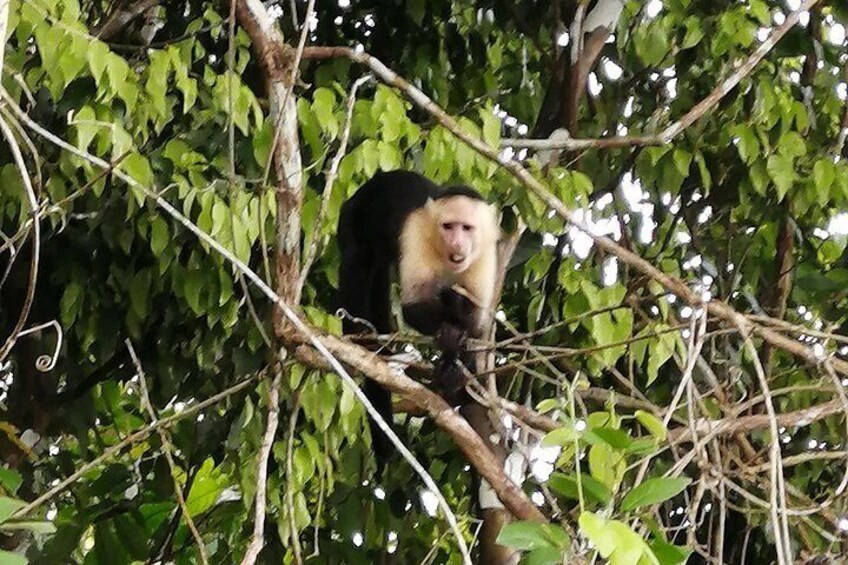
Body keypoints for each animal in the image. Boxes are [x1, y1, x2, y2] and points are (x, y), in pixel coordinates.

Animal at [337, 170, 500, 467]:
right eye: (448, 226)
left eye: (466, 228)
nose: (456, 243)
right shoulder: (416, 235)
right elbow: (413, 306)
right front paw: (449, 336)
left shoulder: (485, 252)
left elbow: (475, 321)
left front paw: (455, 366)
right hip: (352, 217)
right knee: (357, 264)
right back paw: (361, 339)